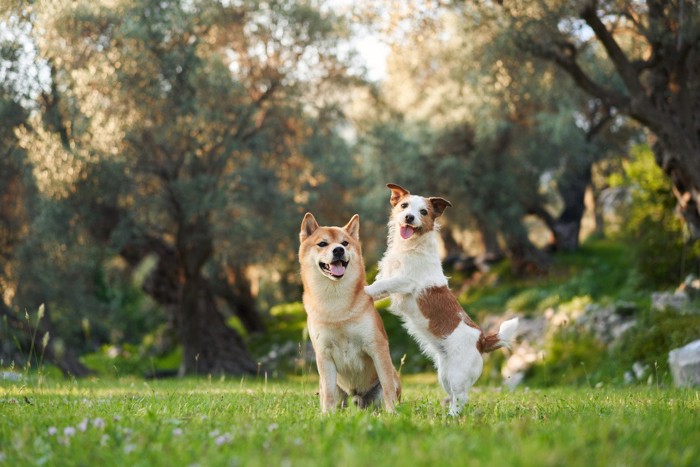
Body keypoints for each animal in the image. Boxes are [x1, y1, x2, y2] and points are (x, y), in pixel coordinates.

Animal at [298, 212, 402, 414]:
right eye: (322, 244)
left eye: (345, 243)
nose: (338, 250)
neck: (336, 304)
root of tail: (357, 399)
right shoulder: (324, 354)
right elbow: (328, 393)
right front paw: (327, 415)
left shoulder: (376, 346)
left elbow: (387, 385)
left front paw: (393, 413)